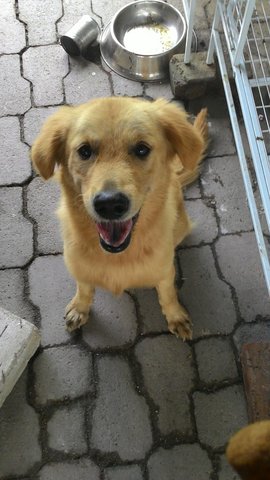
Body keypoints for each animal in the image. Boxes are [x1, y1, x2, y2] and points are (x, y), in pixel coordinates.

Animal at [32, 95, 209, 340]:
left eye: (142, 149)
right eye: (84, 151)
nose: (109, 204)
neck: (118, 256)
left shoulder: (165, 271)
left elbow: (168, 295)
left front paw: (176, 316)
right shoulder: (80, 269)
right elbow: (84, 288)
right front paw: (79, 308)